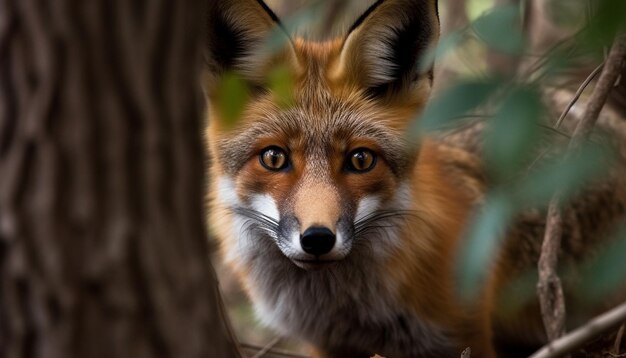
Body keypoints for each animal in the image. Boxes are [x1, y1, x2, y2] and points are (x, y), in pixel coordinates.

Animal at [204, 0, 624, 358]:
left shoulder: (464, 334)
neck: (346, 311)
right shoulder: (328, 345)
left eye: (360, 160)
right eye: (274, 158)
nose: (318, 239)